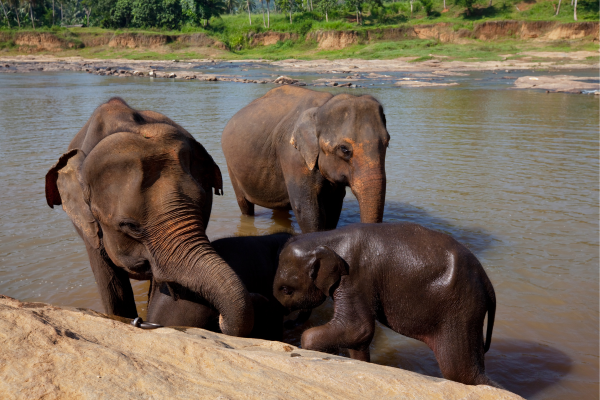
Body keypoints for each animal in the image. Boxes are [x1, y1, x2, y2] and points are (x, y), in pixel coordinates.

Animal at [220, 86, 390, 233]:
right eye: (344, 149)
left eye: (387, 143)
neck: (321, 108)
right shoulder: (292, 155)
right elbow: (306, 207)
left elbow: (334, 204)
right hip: (231, 167)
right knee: (244, 204)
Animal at [274, 223, 500, 386]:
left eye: (286, 290)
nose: (287, 324)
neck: (326, 238)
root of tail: (488, 284)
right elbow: (357, 339)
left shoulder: (355, 278)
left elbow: (357, 328)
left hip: (460, 309)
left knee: (459, 371)